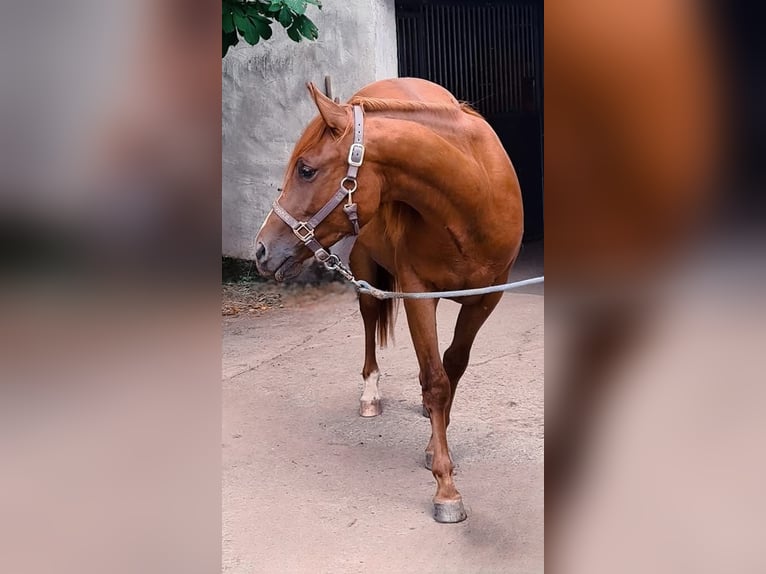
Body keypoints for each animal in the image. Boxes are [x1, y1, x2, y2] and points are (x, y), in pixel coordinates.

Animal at [254, 77, 523, 523]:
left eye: (306, 169)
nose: (260, 250)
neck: (472, 197)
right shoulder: (418, 294)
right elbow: (434, 380)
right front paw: (446, 489)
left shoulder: (486, 298)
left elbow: (452, 366)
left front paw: (435, 444)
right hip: (365, 272)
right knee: (369, 328)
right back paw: (370, 396)